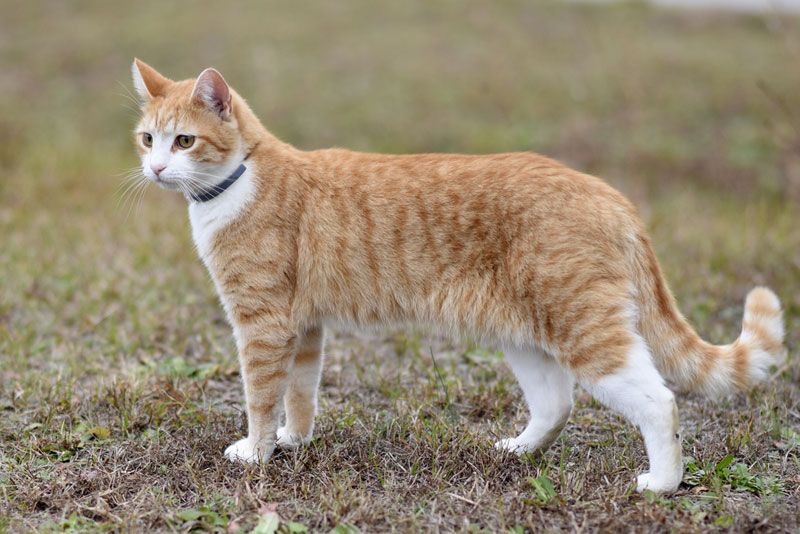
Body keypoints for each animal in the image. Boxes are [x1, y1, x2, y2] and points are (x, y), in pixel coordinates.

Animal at [128, 58, 784, 494]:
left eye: (184, 141)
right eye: (146, 138)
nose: (155, 168)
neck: (238, 183)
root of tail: (608, 193)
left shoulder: (262, 325)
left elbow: (261, 396)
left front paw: (258, 452)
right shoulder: (304, 327)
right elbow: (300, 393)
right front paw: (294, 441)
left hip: (586, 333)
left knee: (660, 402)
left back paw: (662, 482)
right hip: (526, 334)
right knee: (557, 403)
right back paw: (518, 451)